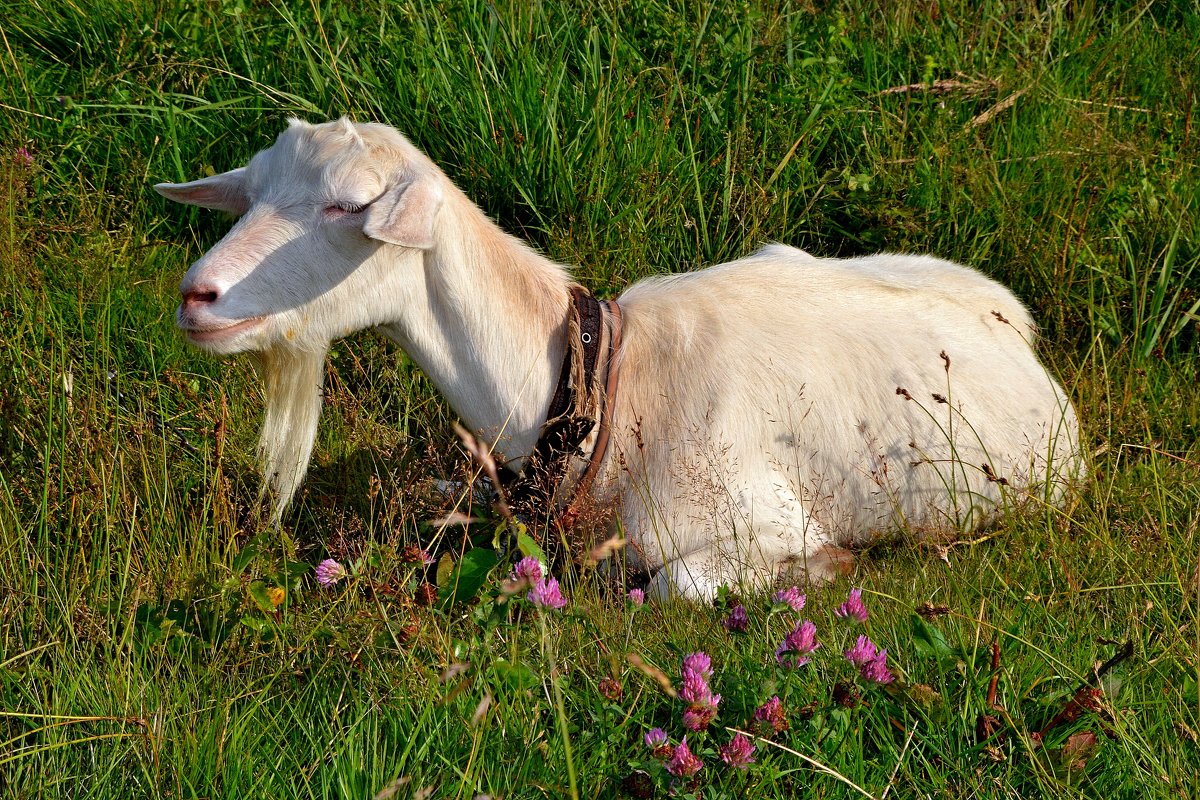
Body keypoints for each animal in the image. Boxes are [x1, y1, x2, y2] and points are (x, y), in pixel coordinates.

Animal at [154, 115, 1084, 597]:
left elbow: (686, 583)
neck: (609, 386)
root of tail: (1015, 325)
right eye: (250, 190)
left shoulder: (750, 515)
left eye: (349, 205)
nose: (197, 296)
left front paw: (827, 567)